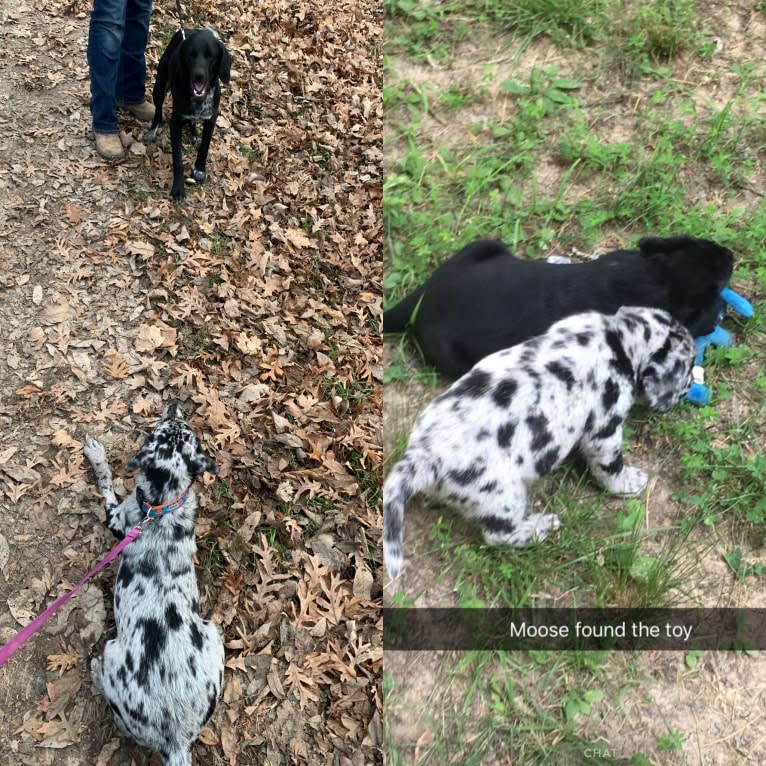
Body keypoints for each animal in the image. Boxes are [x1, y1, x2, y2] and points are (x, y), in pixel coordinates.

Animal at [86, 402, 226, 766]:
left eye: (155, 431)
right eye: (175, 425)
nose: (174, 401)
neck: (162, 505)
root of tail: (175, 737)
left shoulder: (116, 519)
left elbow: (106, 482)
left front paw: (96, 455)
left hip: (112, 652)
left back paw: (94, 670)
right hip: (214, 634)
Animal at [142, 29, 231, 201]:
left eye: (211, 56)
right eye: (191, 55)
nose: (199, 76)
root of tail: (185, 30)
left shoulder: (211, 120)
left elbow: (204, 148)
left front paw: (199, 170)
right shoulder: (175, 124)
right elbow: (178, 160)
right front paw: (178, 188)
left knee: (193, 121)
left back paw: (195, 134)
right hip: (160, 86)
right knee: (158, 112)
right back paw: (152, 131)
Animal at [384, 308, 696, 580]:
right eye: (689, 365)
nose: (692, 384)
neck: (617, 339)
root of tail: (422, 457)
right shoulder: (603, 430)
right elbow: (611, 467)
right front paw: (628, 483)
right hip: (505, 497)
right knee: (499, 536)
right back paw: (540, 527)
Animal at [388, 234, 736, 378]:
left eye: (706, 243)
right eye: (719, 281)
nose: (731, 254)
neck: (655, 275)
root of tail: (422, 299)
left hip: (483, 244)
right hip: (453, 358)